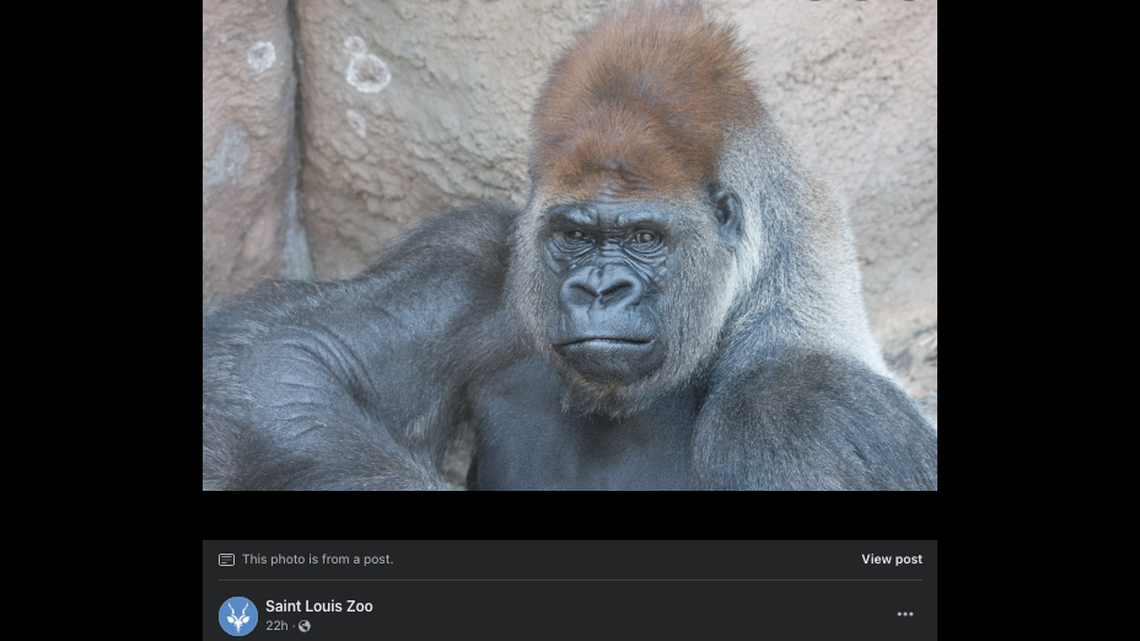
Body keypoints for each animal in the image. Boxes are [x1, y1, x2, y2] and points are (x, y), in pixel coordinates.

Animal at [203, 1, 936, 490]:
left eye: (644, 237)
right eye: (577, 237)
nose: (598, 289)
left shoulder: (799, 417)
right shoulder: (477, 258)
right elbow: (282, 356)